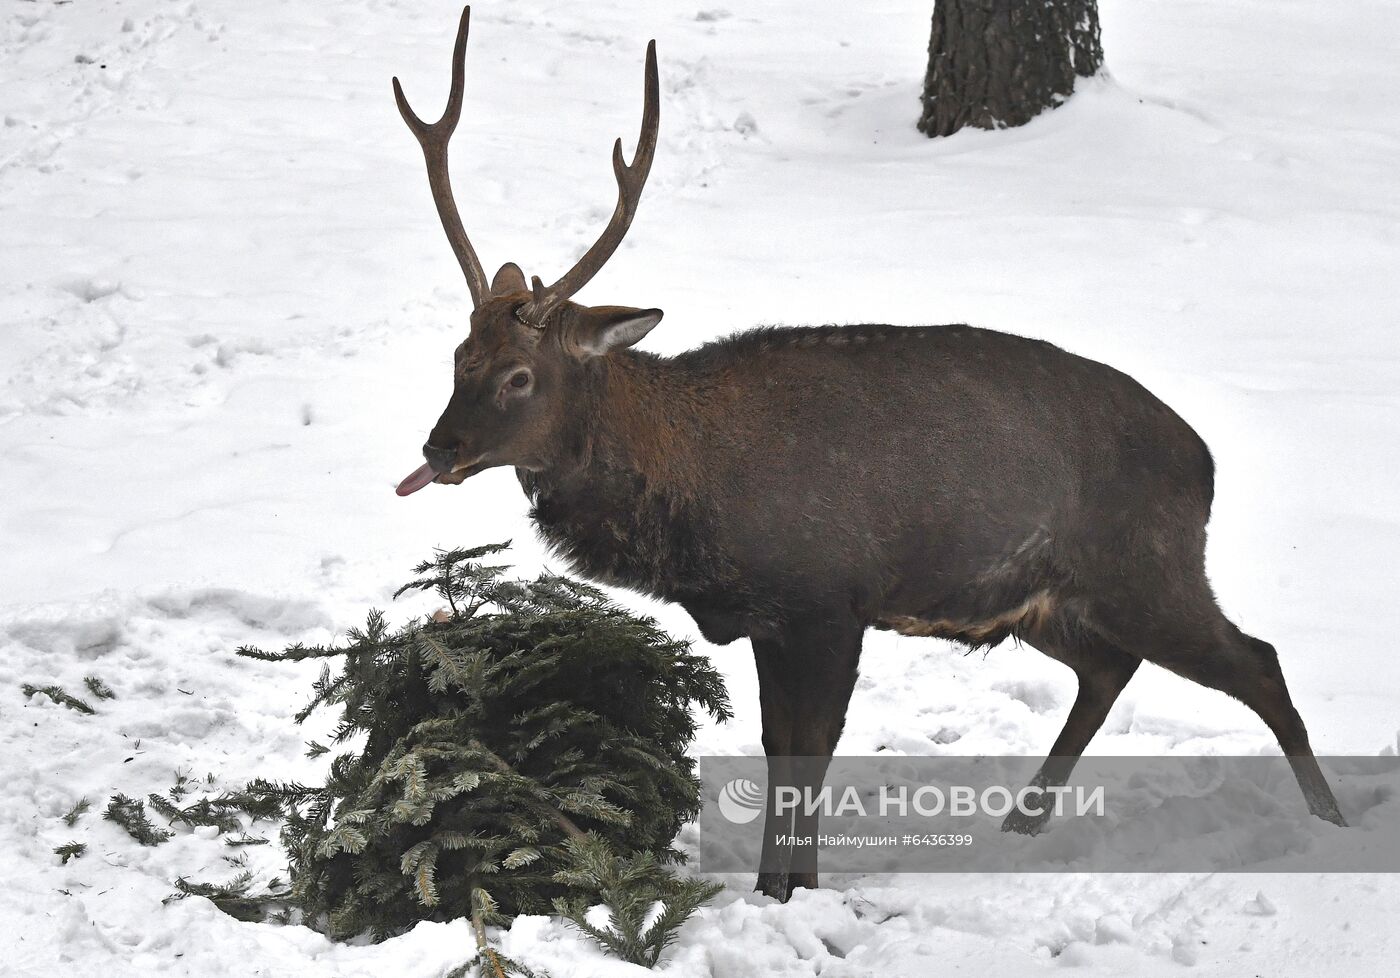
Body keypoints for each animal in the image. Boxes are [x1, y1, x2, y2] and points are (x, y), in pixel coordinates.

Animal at [392, 5, 1344, 901]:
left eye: (519, 376)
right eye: (457, 356)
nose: (438, 447)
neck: (694, 496)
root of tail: (1205, 460)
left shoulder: (827, 596)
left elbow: (810, 749)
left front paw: (795, 889)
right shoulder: (771, 617)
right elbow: (776, 745)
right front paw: (773, 885)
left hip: (1145, 566)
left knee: (1256, 661)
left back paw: (1332, 823)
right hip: (1044, 600)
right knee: (1111, 667)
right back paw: (1022, 824)